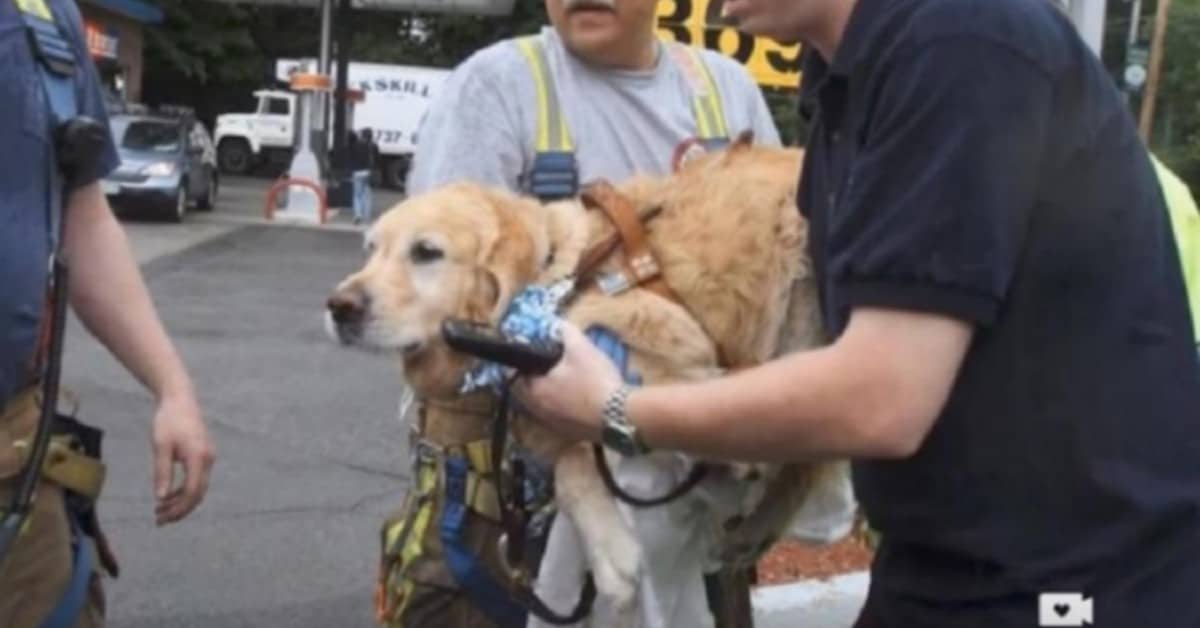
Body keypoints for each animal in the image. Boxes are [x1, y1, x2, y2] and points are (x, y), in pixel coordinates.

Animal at [324, 137, 840, 624]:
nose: (339, 307)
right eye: (371, 249)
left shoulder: (672, 354)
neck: (556, 278)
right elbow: (571, 462)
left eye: (426, 252)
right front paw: (610, 548)